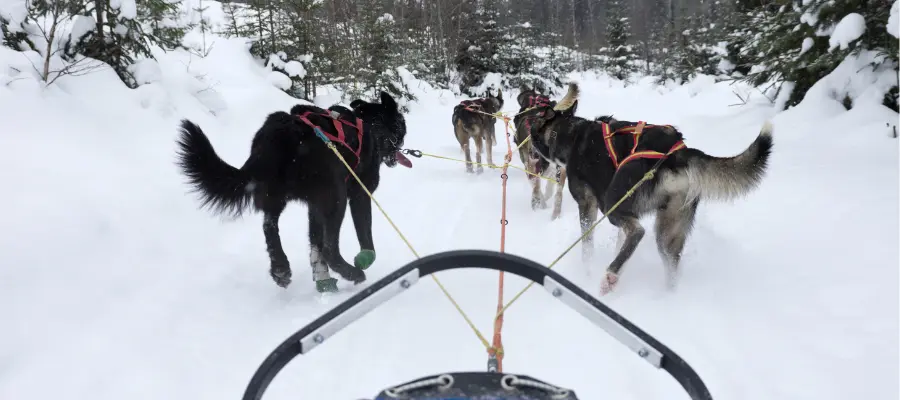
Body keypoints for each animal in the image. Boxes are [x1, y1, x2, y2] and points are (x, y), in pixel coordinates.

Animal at [175, 94, 412, 294]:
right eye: (401, 126)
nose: (402, 143)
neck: (371, 126)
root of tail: (280, 134)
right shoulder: (360, 193)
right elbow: (365, 238)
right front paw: (363, 259)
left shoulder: (314, 206)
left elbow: (315, 241)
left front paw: (322, 278)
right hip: (336, 198)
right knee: (330, 248)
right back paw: (352, 272)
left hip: (275, 196)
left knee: (269, 226)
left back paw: (280, 268)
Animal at [524, 83, 768, 294]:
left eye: (533, 124)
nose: (529, 150)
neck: (571, 134)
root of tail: (677, 154)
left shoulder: (587, 204)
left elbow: (587, 248)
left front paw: (586, 272)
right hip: (669, 230)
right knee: (669, 262)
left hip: (613, 203)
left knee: (637, 231)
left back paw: (610, 276)